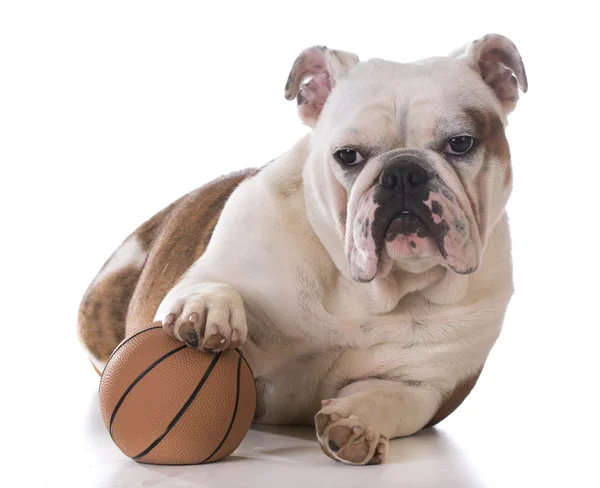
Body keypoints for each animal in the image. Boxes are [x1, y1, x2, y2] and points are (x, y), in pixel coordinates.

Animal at [78, 34, 524, 466]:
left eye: (461, 144)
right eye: (348, 155)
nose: (402, 172)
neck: (370, 292)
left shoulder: (425, 385)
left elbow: (387, 396)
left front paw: (355, 424)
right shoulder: (216, 272)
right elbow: (211, 285)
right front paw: (206, 310)